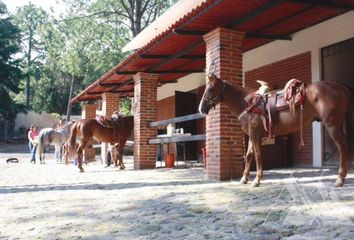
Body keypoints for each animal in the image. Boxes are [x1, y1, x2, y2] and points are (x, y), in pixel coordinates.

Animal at [199, 74, 354, 187]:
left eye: (211, 89)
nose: (201, 109)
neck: (247, 103)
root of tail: (341, 87)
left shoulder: (255, 134)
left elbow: (257, 155)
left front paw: (257, 180)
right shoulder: (251, 134)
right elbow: (249, 155)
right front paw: (244, 178)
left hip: (332, 125)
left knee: (342, 147)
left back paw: (340, 178)